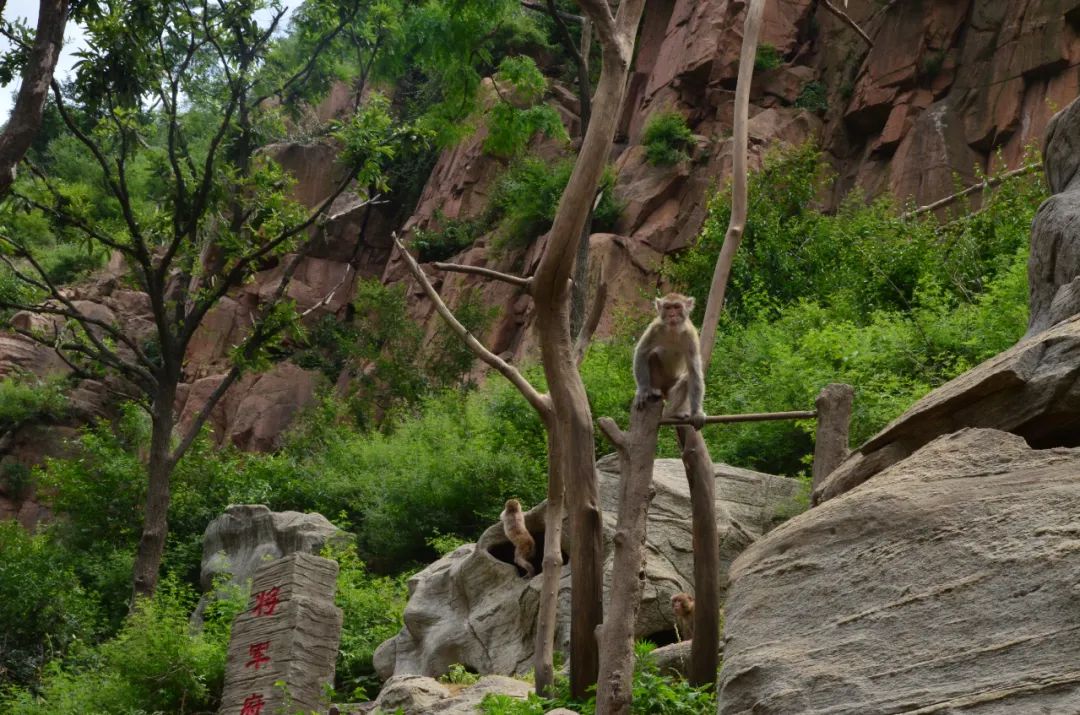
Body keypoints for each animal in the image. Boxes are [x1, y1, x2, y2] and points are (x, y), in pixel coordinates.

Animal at [630, 293, 708, 432]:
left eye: (677, 307)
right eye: (667, 307)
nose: (672, 315)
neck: (672, 331)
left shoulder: (691, 336)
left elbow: (694, 370)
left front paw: (697, 413)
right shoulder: (654, 328)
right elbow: (642, 352)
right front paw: (642, 390)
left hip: (672, 384)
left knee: (685, 379)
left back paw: (671, 413)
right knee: (652, 355)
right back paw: (653, 390)